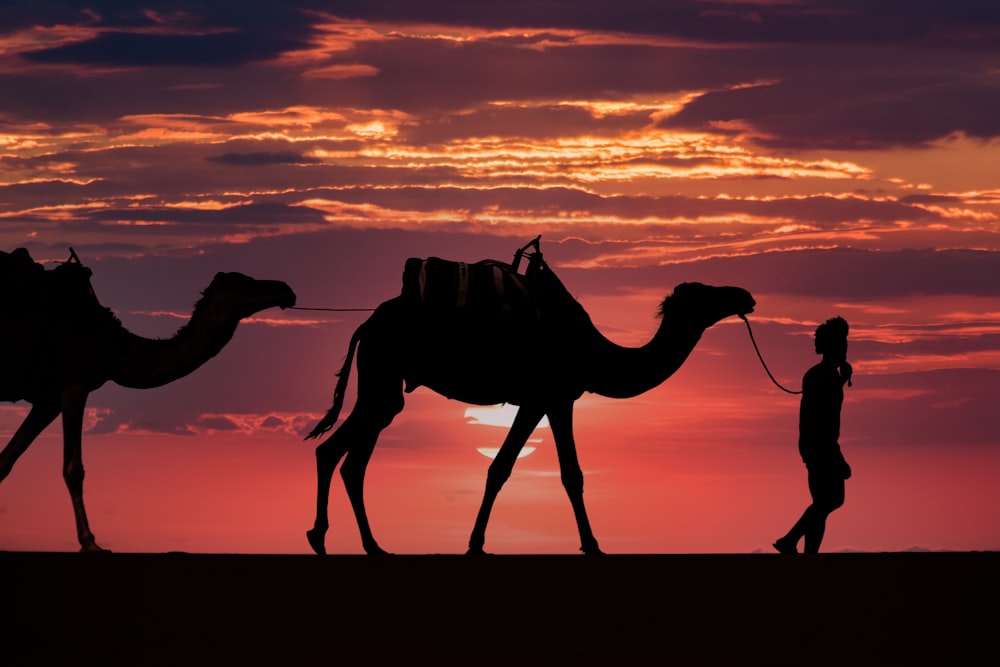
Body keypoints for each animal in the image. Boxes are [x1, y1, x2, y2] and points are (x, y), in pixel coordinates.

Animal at [0, 253, 296, 552]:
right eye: (246, 282)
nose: (285, 289)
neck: (115, 347)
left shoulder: (48, 400)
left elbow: (6, 461)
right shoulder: (74, 384)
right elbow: (73, 468)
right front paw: (90, 542)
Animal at [306, 248, 756, 556]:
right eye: (705, 293)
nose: (745, 295)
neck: (593, 353)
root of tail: (368, 322)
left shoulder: (551, 400)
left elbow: (535, 470)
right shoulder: (548, 396)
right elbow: (538, 471)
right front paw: (590, 545)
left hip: (383, 381)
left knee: (351, 457)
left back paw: (368, 545)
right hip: (383, 368)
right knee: (339, 451)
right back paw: (324, 538)